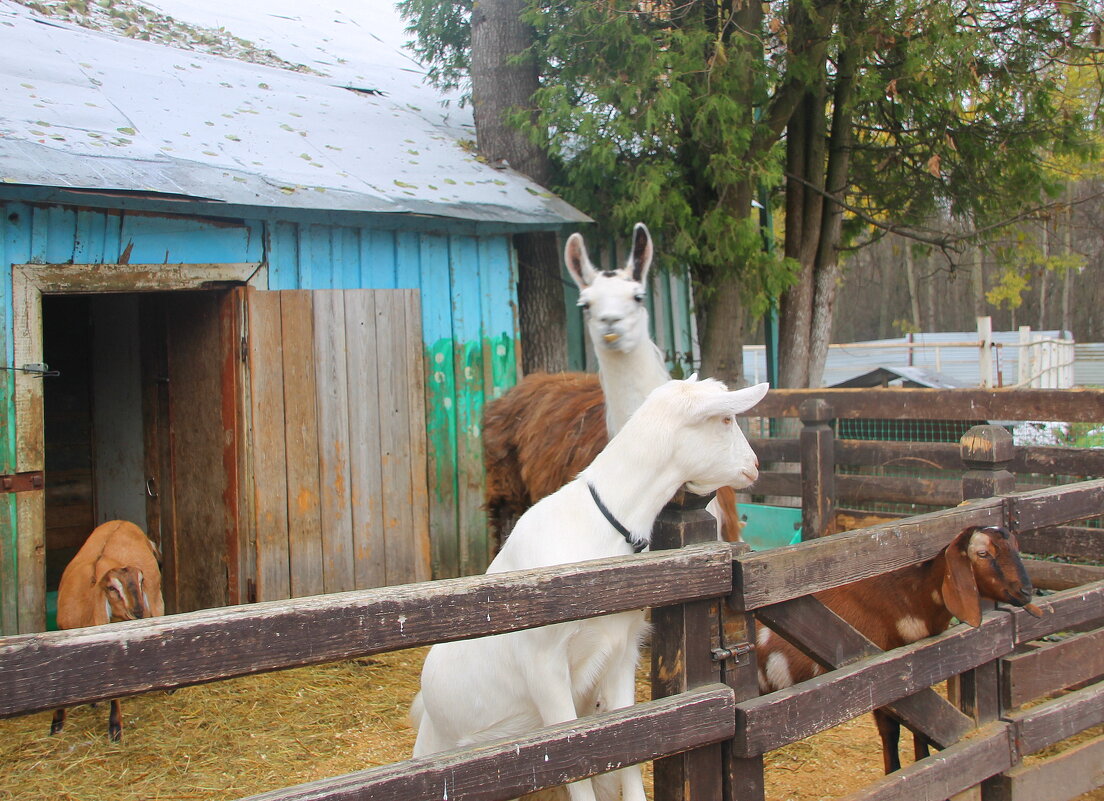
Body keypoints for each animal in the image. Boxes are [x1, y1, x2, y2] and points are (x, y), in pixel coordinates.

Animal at [51, 520, 162, 741]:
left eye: (141, 581)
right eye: (112, 588)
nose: (139, 611)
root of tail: (123, 521)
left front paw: (115, 728)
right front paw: (57, 724)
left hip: (157, 600)